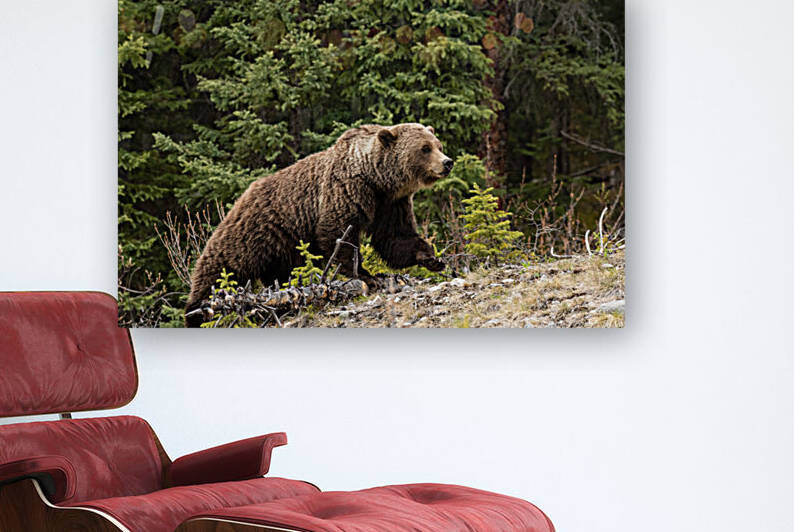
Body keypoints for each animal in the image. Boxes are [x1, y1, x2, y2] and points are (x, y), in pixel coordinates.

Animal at [184, 123, 453, 326]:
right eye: (425, 148)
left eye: (438, 145)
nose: (447, 162)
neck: (376, 178)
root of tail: (240, 198)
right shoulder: (347, 190)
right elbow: (339, 234)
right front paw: (365, 276)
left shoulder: (391, 202)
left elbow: (395, 237)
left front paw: (432, 257)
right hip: (253, 231)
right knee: (221, 267)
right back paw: (197, 312)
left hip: (282, 246)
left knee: (279, 273)